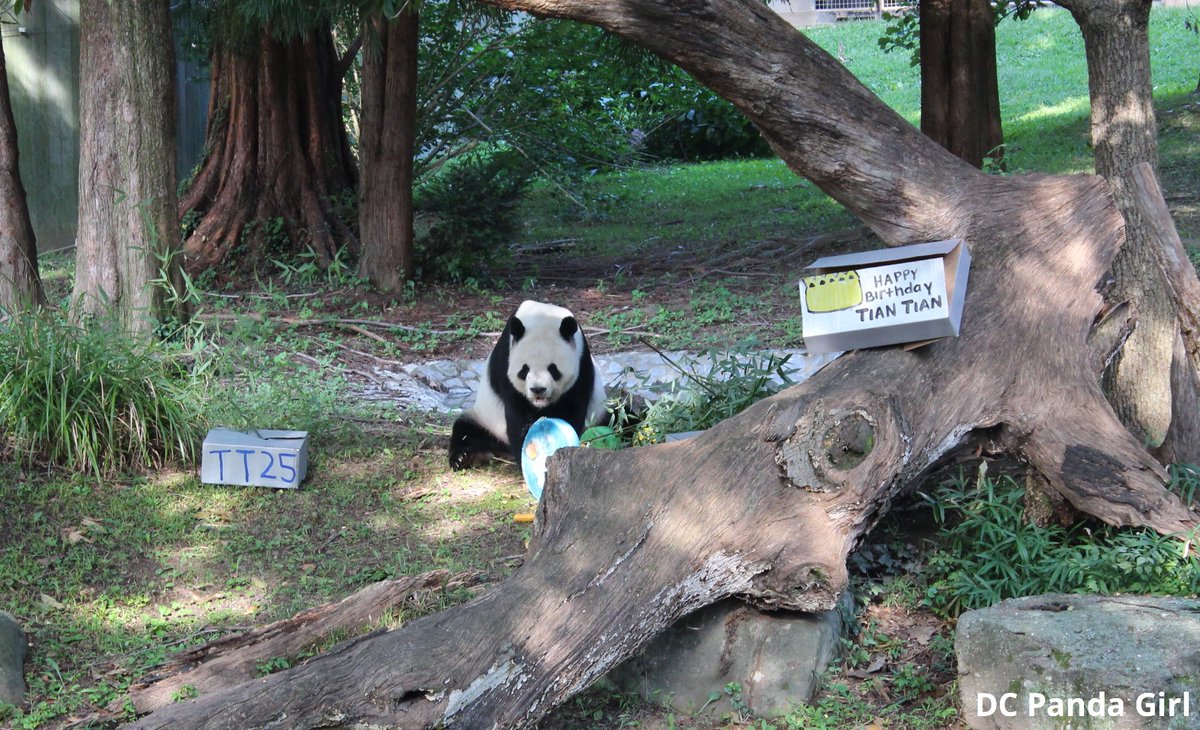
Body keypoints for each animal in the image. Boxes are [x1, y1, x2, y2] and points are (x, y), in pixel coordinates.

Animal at [448, 300, 607, 470]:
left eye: (553, 369)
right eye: (524, 370)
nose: (538, 389)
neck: (542, 316)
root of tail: (503, 449)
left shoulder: (581, 364)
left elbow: (571, 408)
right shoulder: (506, 362)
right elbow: (518, 413)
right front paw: (526, 455)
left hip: (600, 412)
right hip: (487, 421)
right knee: (465, 429)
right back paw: (464, 457)